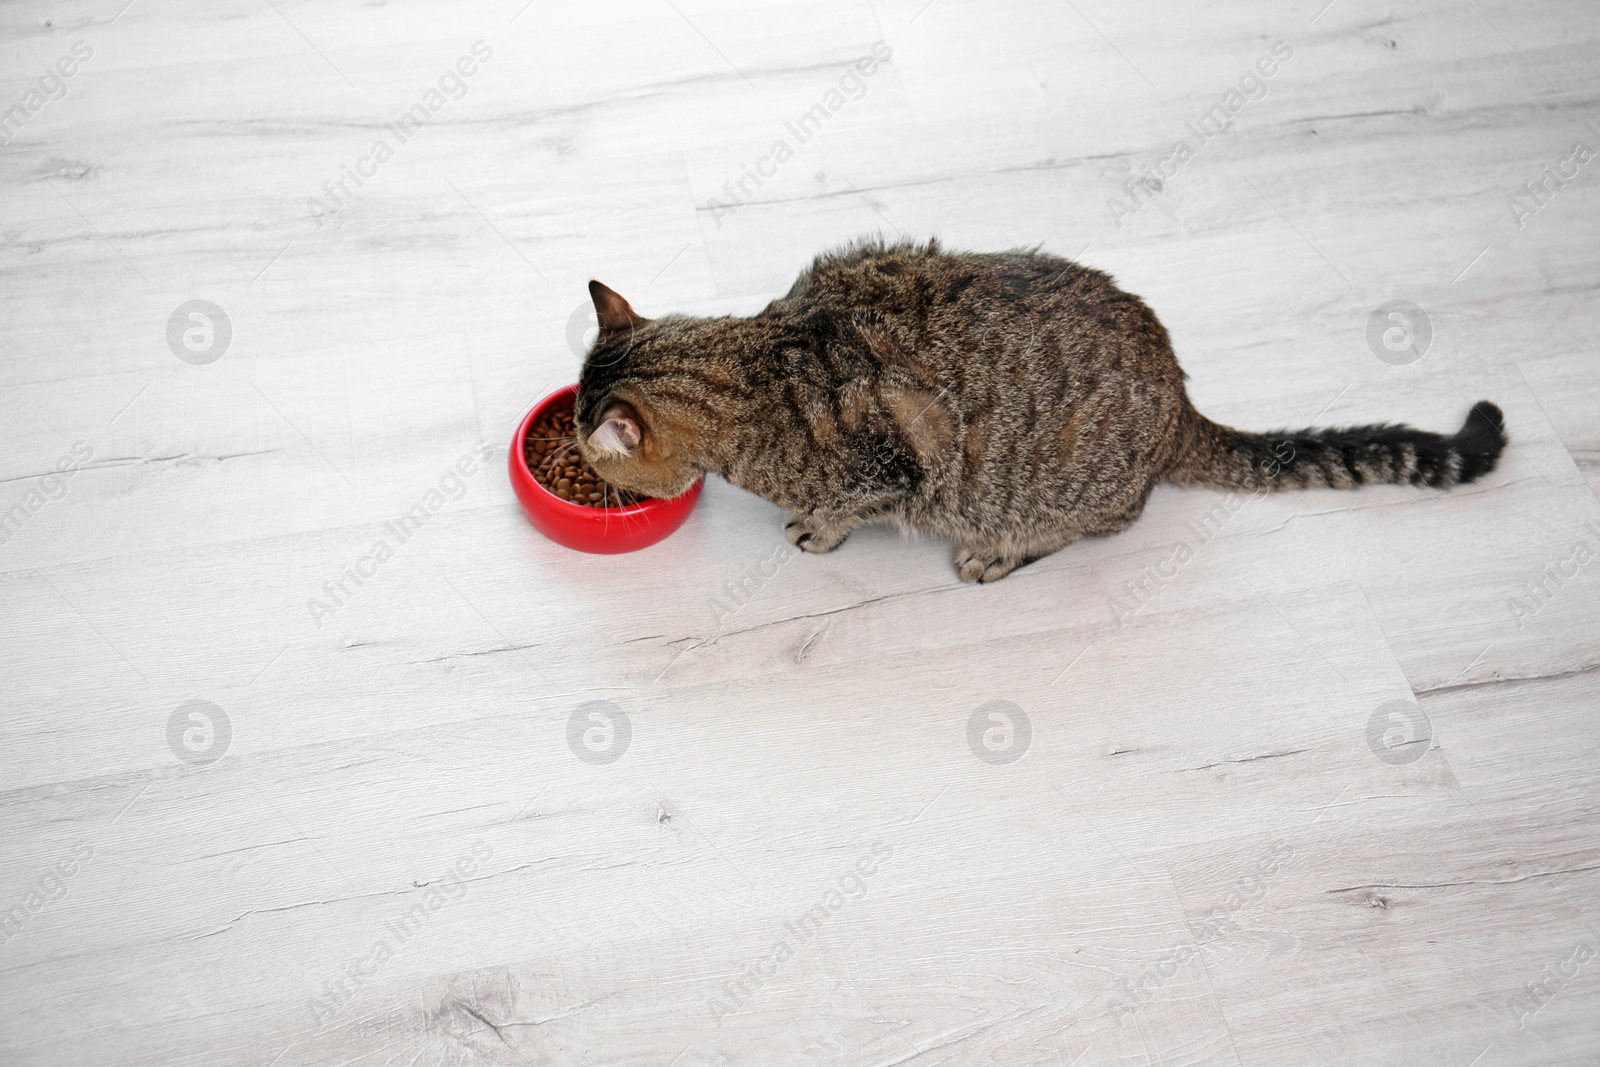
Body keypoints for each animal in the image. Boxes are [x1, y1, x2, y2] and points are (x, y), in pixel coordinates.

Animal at [569, 238, 1504, 585]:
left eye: (591, 450)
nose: (577, 460)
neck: (754, 358)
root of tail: (1181, 401)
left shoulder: (891, 469)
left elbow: (844, 506)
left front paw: (816, 527)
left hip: (1059, 489)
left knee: (1087, 524)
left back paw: (999, 551)